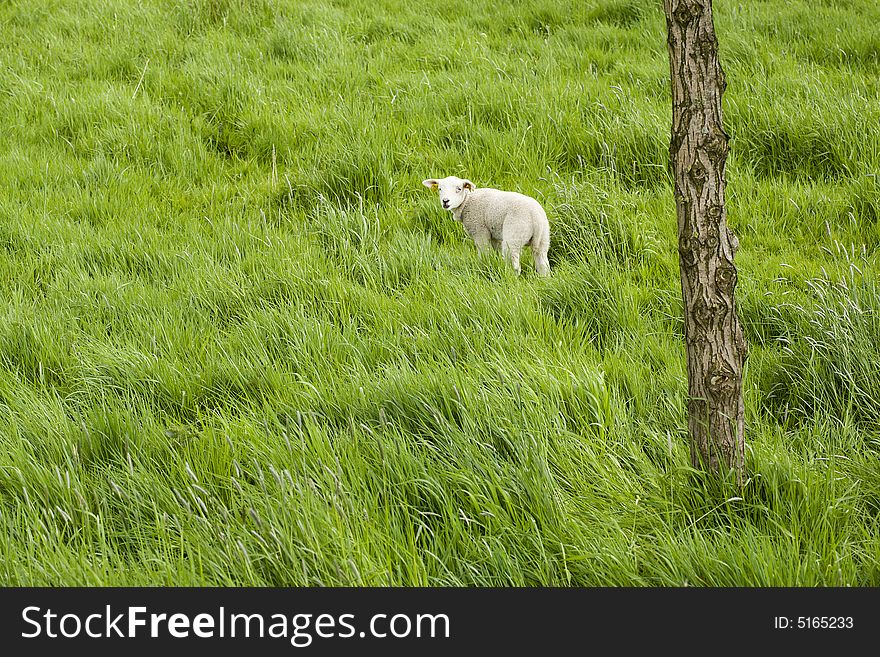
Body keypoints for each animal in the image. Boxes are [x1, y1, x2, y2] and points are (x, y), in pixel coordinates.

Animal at [422, 176, 552, 276]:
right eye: (440, 189)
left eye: (459, 189)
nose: (445, 201)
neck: (467, 201)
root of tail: (535, 217)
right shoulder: (494, 234)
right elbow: (496, 251)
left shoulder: (480, 230)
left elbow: (484, 253)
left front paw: (482, 267)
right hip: (544, 237)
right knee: (542, 263)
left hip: (515, 233)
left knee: (514, 264)